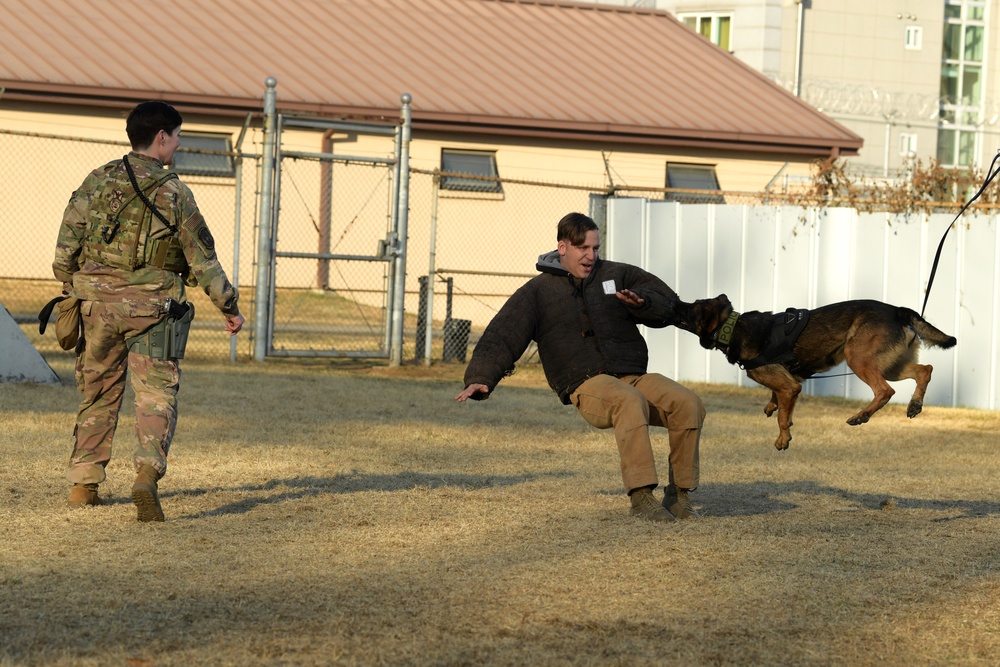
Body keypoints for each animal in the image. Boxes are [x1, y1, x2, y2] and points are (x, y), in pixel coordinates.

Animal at [676, 294, 956, 452]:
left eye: (691, 308)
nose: (676, 303)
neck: (732, 327)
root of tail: (897, 310)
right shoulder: (788, 383)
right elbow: (780, 404)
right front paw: (773, 407)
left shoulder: (791, 386)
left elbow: (782, 416)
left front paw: (783, 439)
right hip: (890, 365)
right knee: (925, 370)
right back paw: (914, 404)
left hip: (859, 358)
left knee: (886, 390)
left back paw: (861, 415)